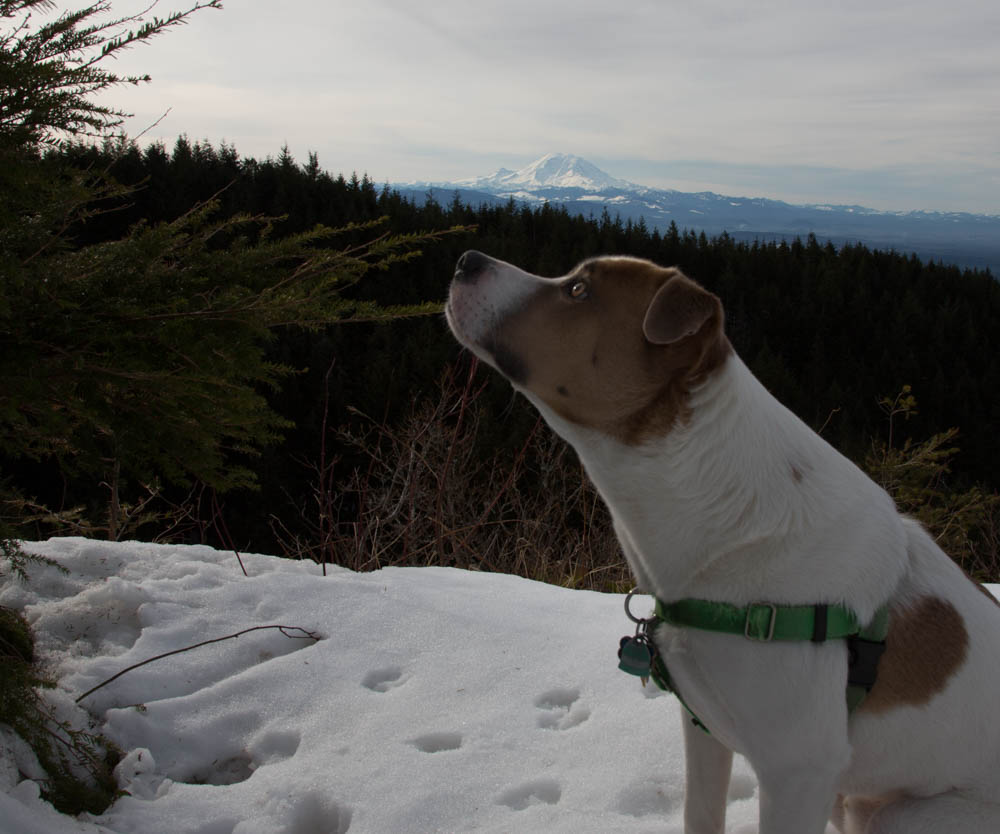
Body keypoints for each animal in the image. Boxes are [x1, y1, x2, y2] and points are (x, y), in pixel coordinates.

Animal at [446, 250, 1000, 832]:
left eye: (577, 291)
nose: (467, 260)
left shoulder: (798, 772)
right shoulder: (704, 728)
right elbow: (700, 813)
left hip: (904, 814)